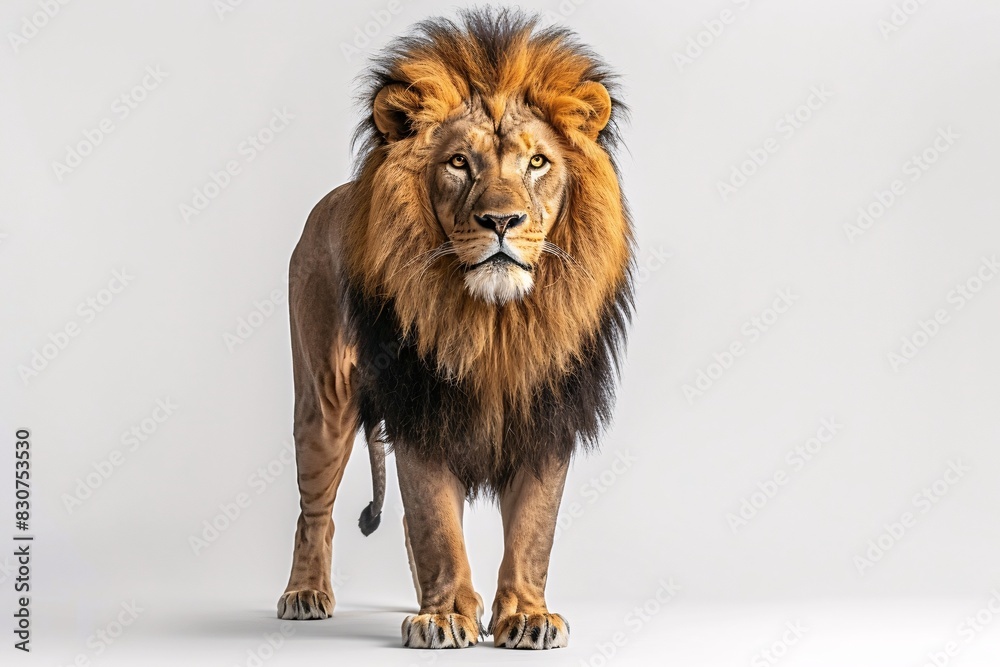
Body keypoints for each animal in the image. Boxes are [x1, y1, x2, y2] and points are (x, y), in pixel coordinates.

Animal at [277, 8, 634, 650]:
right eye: (459, 163)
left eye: (537, 162)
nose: (501, 220)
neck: (495, 323)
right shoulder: (422, 404)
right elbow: (437, 523)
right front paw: (444, 617)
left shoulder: (548, 411)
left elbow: (533, 530)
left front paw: (526, 615)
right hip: (323, 398)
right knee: (314, 511)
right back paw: (305, 595)